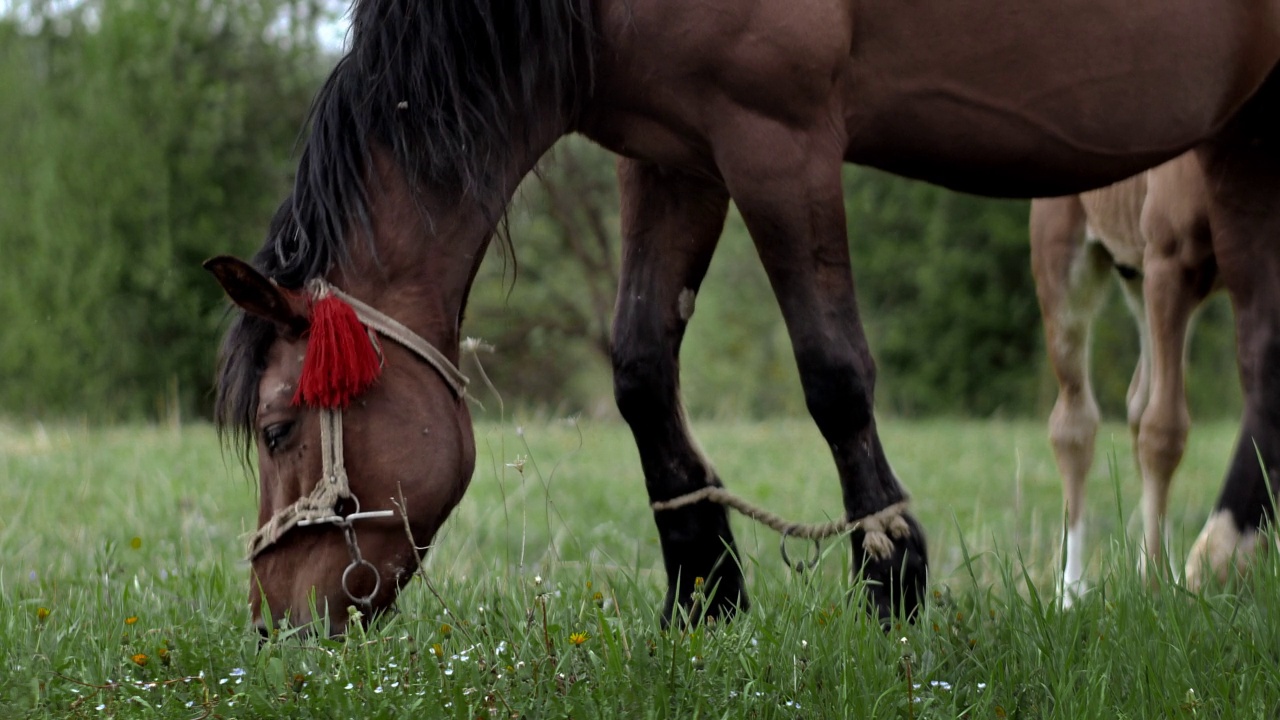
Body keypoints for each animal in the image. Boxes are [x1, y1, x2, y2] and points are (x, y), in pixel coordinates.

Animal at [1029, 151, 1218, 599]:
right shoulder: (1173, 261)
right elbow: (1164, 428)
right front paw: (1153, 587)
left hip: (1140, 277)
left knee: (1138, 402)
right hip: (1066, 259)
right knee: (1074, 424)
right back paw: (1071, 589)